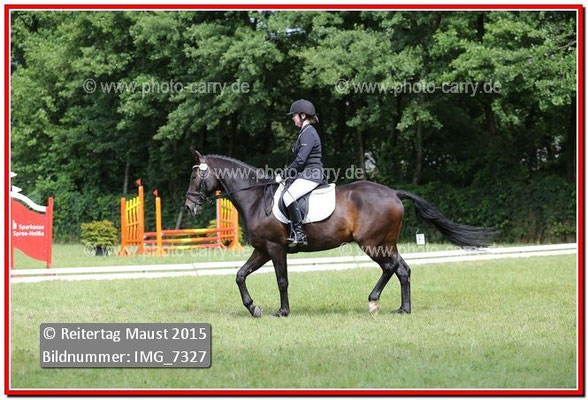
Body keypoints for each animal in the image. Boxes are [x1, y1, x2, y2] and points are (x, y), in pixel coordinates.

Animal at [184, 150, 496, 318]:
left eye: (196, 176)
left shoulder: (275, 248)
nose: (189, 206)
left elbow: (282, 281)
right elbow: (239, 275)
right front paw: (253, 308)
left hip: (372, 244)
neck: (257, 199)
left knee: (391, 268)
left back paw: (373, 301)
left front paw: (282, 311)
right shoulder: (261, 249)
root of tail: (393, 193)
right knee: (403, 269)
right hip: (386, 243)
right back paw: (402, 309)